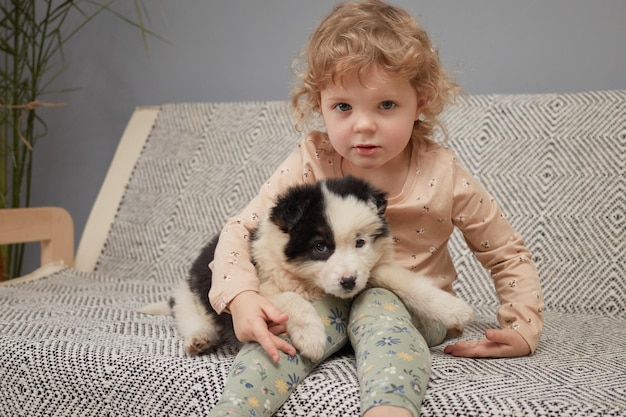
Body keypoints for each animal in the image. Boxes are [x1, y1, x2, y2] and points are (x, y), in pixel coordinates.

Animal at [143, 175, 472, 358]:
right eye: (320, 247)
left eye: (360, 243)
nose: (348, 282)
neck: (310, 281)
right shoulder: (263, 286)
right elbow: (292, 299)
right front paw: (312, 338)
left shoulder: (372, 269)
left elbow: (408, 281)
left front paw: (453, 308)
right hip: (193, 296)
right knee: (190, 317)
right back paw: (199, 339)